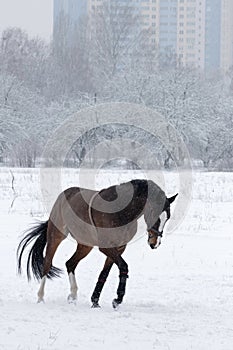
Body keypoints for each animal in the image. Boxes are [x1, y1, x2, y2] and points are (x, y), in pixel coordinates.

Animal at [16, 180, 177, 308]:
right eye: (154, 213)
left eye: (168, 217)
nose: (155, 242)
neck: (119, 212)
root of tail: (63, 195)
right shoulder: (106, 247)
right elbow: (123, 266)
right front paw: (117, 299)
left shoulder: (119, 248)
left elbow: (104, 273)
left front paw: (95, 300)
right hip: (56, 236)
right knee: (47, 264)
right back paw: (41, 298)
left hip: (85, 245)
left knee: (70, 263)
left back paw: (73, 296)